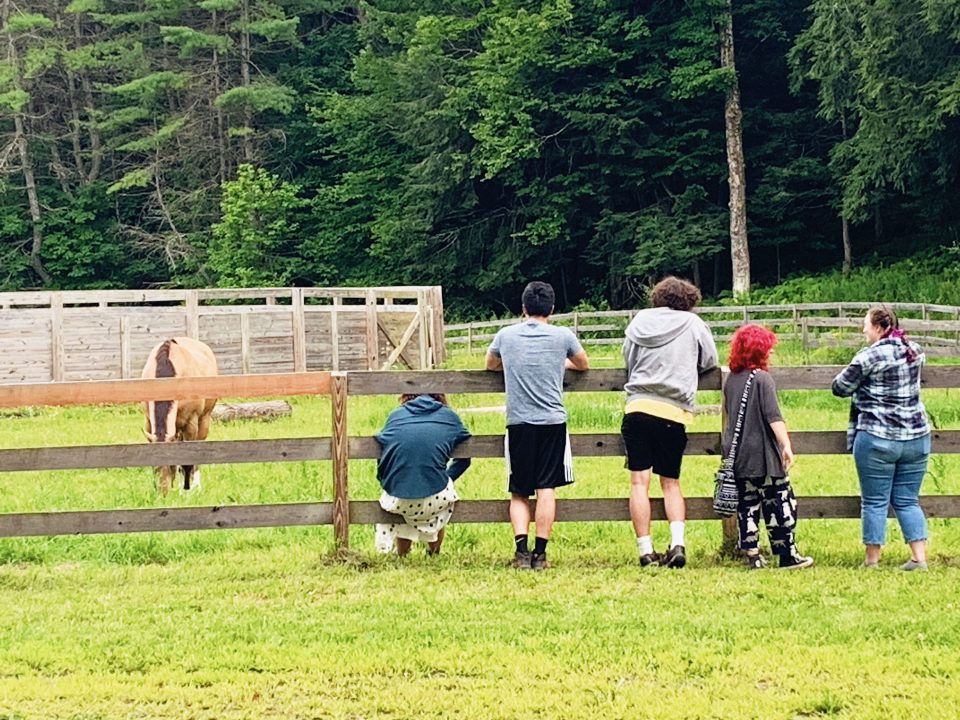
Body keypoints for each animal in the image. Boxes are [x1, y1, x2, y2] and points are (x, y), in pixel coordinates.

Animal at [141, 336, 219, 496]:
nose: (163, 493)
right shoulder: (148, 422)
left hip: (204, 420)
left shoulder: (191, 424)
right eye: (153, 465)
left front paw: (187, 491)